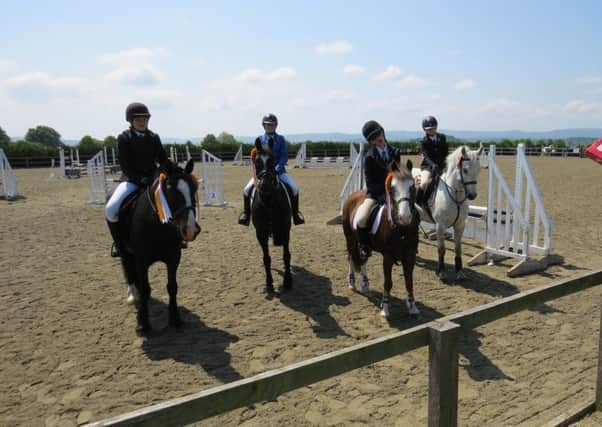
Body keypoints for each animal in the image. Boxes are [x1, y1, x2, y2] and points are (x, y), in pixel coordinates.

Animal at [116, 159, 200, 336]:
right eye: (171, 192)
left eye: (194, 189)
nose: (191, 230)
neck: (157, 225)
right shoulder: (141, 261)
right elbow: (145, 289)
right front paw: (143, 324)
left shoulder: (174, 257)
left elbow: (172, 287)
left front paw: (175, 319)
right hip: (125, 252)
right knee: (128, 270)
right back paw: (133, 296)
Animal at [250, 137, 292, 298]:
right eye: (256, 161)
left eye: (273, 160)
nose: (265, 185)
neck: (269, 200)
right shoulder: (260, 233)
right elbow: (266, 258)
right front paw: (269, 284)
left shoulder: (285, 230)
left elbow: (286, 255)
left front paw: (287, 281)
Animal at [340, 157, 420, 318]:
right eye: (393, 188)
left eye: (412, 187)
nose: (405, 217)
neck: (401, 229)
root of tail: (353, 195)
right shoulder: (388, 257)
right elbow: (388, 282)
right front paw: (385, 308)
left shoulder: (410, 256)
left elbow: (409, 281)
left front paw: (412, 306)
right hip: (350, 239)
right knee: (351, 257)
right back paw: (352, 283)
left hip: (365, 245)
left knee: (363, 259)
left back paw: (365, 284)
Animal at [412, 145, 482, 282]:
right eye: (465, 170)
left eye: (478, 170)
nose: (472, 195)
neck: (455, 195)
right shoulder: (440, 226)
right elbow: (441, 249)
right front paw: (441, 273)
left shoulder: (460, 225)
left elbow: (458, 249)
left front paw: (460, 272)